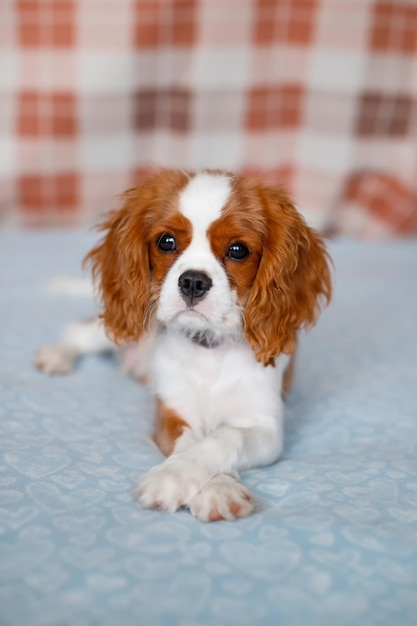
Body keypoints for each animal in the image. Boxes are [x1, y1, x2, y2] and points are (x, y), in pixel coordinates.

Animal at [38, 168, 332, 520]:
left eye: (238, 250)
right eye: (167, 242)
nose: (193, 281)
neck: (209, 348)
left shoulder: (265, 426)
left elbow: (225, 436)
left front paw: (201, 484)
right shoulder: (172, 412)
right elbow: (190, 442)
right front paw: (186, 479)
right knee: (78, 332)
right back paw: (57, 355)